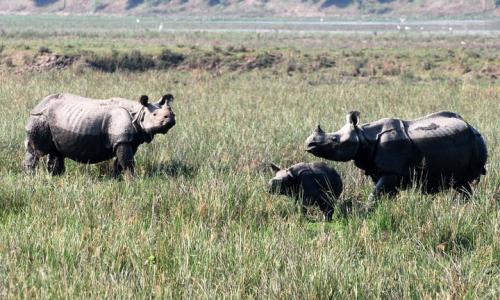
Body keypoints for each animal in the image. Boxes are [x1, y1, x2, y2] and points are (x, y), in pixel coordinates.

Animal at [23, 93, 176, 176]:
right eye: (155, 115)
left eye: (170, 112)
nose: (171, 118)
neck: (138, 113)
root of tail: (38, 104)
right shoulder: (123, 140)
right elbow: (128, 163)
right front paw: (132, 181)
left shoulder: (129, 140)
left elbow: (120, 163)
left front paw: (117, 179)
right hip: (40, 117)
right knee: (36, 151)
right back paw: (30, 177)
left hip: (52, 120)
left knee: (56, 151)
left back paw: (56, 177)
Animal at [304, 111, 488, 200]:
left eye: (334, 139)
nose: (308, 144)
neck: (363, 135)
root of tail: (473, 127)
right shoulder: (382, 171)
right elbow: (384, 193)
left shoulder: (392, 171)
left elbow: (375, 194)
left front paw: (367, 211)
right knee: (462, 184)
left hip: (476, 141)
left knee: (464, 182)